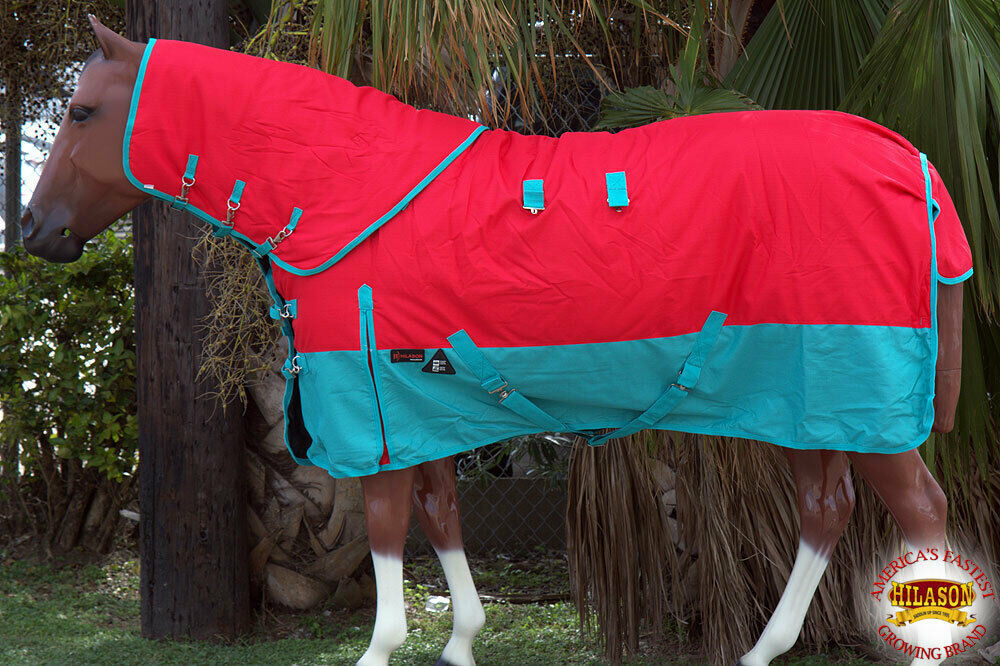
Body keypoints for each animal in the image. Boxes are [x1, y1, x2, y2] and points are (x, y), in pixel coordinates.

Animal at [20, 16, 971, 666]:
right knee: (826, 509)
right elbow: (439, 515)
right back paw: (763, 649)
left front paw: (383, 648)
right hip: (810, 400)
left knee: (922, 509)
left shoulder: (373, 410)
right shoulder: (418, 404)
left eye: (82, 110)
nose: (34, 231)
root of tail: (910, 159)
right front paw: (461, 640)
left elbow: (387, 525)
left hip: (855, 392)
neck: (344, 188)